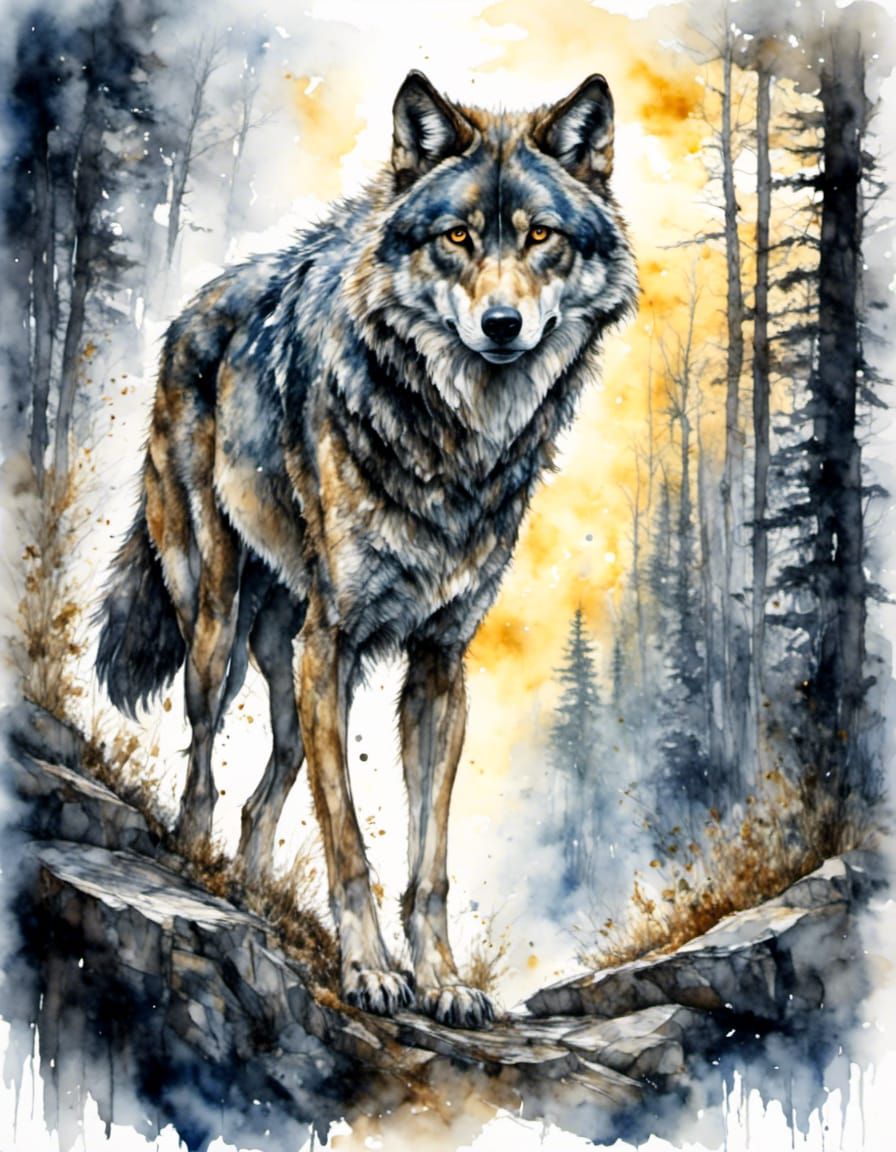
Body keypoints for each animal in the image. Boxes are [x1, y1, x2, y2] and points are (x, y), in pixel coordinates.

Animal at [96, 70, 637, 1026]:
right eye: (458, 238)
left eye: (541, 236)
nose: (503, 325)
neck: (453, 443)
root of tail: (194, 308)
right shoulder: (337, 637)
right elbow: (348, 839)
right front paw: (371, 973)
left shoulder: (439, 664)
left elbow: (429, 861)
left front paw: (443, 981)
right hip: (222, 631)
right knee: (202, 763)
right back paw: (197, 870)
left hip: (295, 663)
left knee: (267, 786)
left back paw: (251, 893)